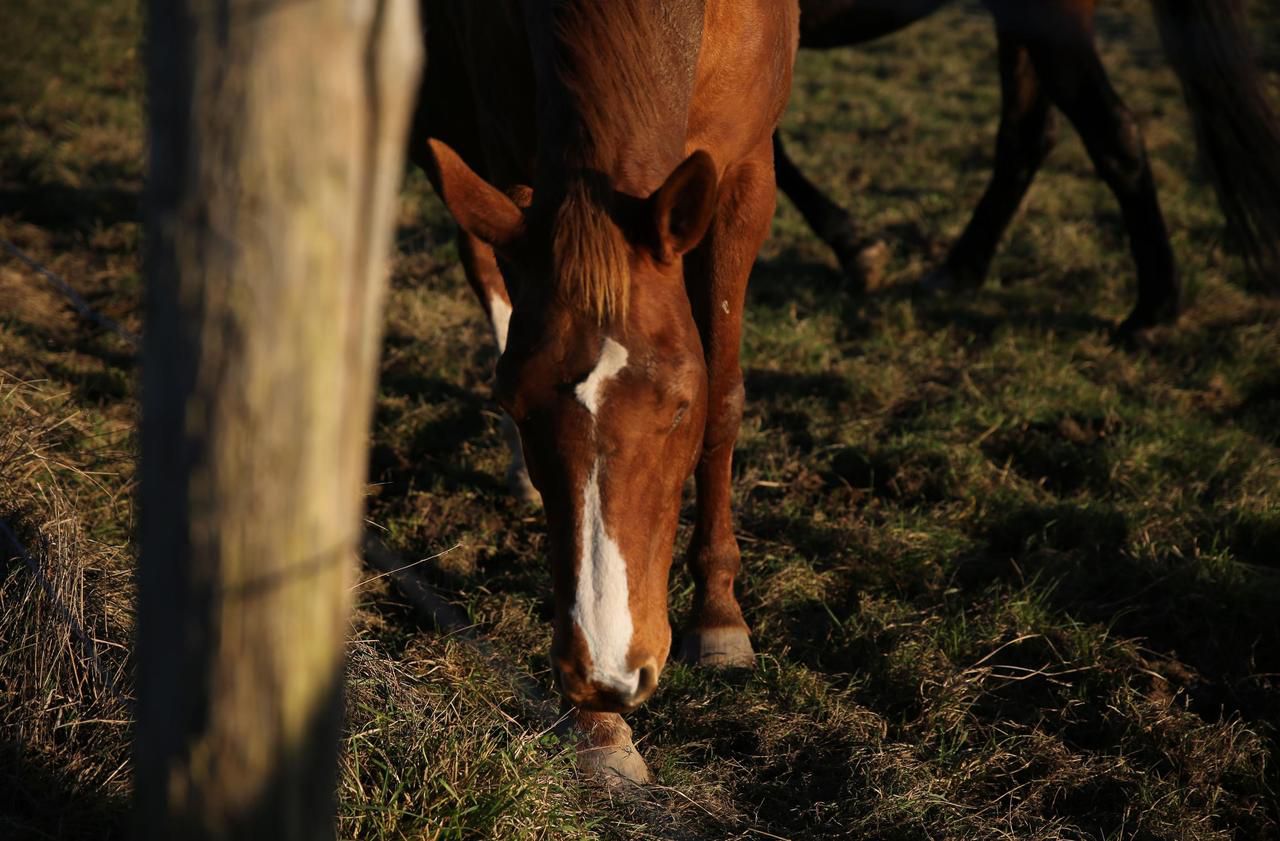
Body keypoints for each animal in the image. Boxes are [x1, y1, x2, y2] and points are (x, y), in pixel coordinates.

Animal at [773, 0, 1280, 335]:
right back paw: (960, 270)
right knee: (1028, 135)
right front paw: (854, 245)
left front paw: (855, 245)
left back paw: (1154, 310)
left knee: (1112, 131)